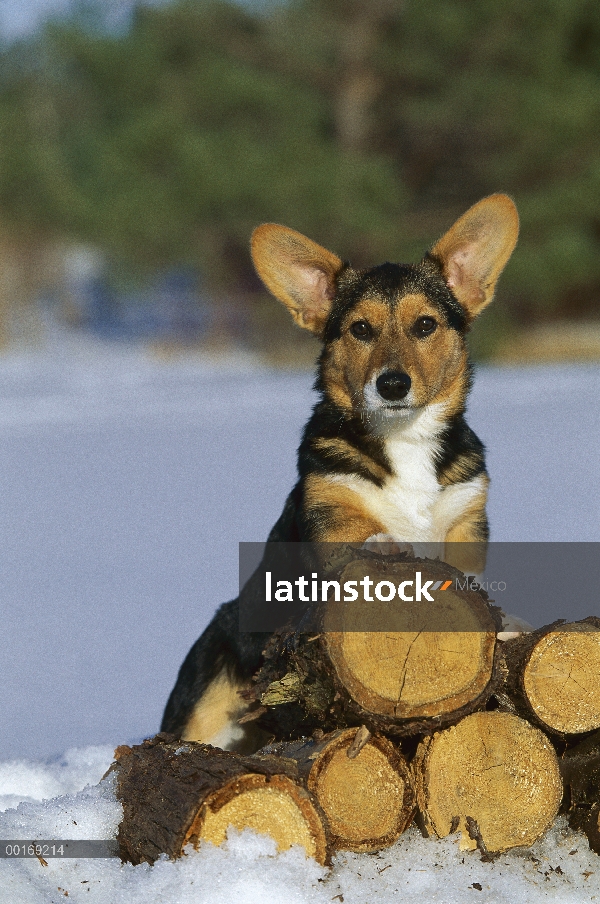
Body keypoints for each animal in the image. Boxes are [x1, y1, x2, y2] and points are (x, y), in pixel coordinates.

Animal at [161, 194, 520, 752]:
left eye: (424, 326)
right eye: (360, 329)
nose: (391, 384)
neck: (404, 439)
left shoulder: (467, 517)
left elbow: (471, 573)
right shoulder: (328, 510)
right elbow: (358, 533)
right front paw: (385, 545)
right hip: (205, 703)